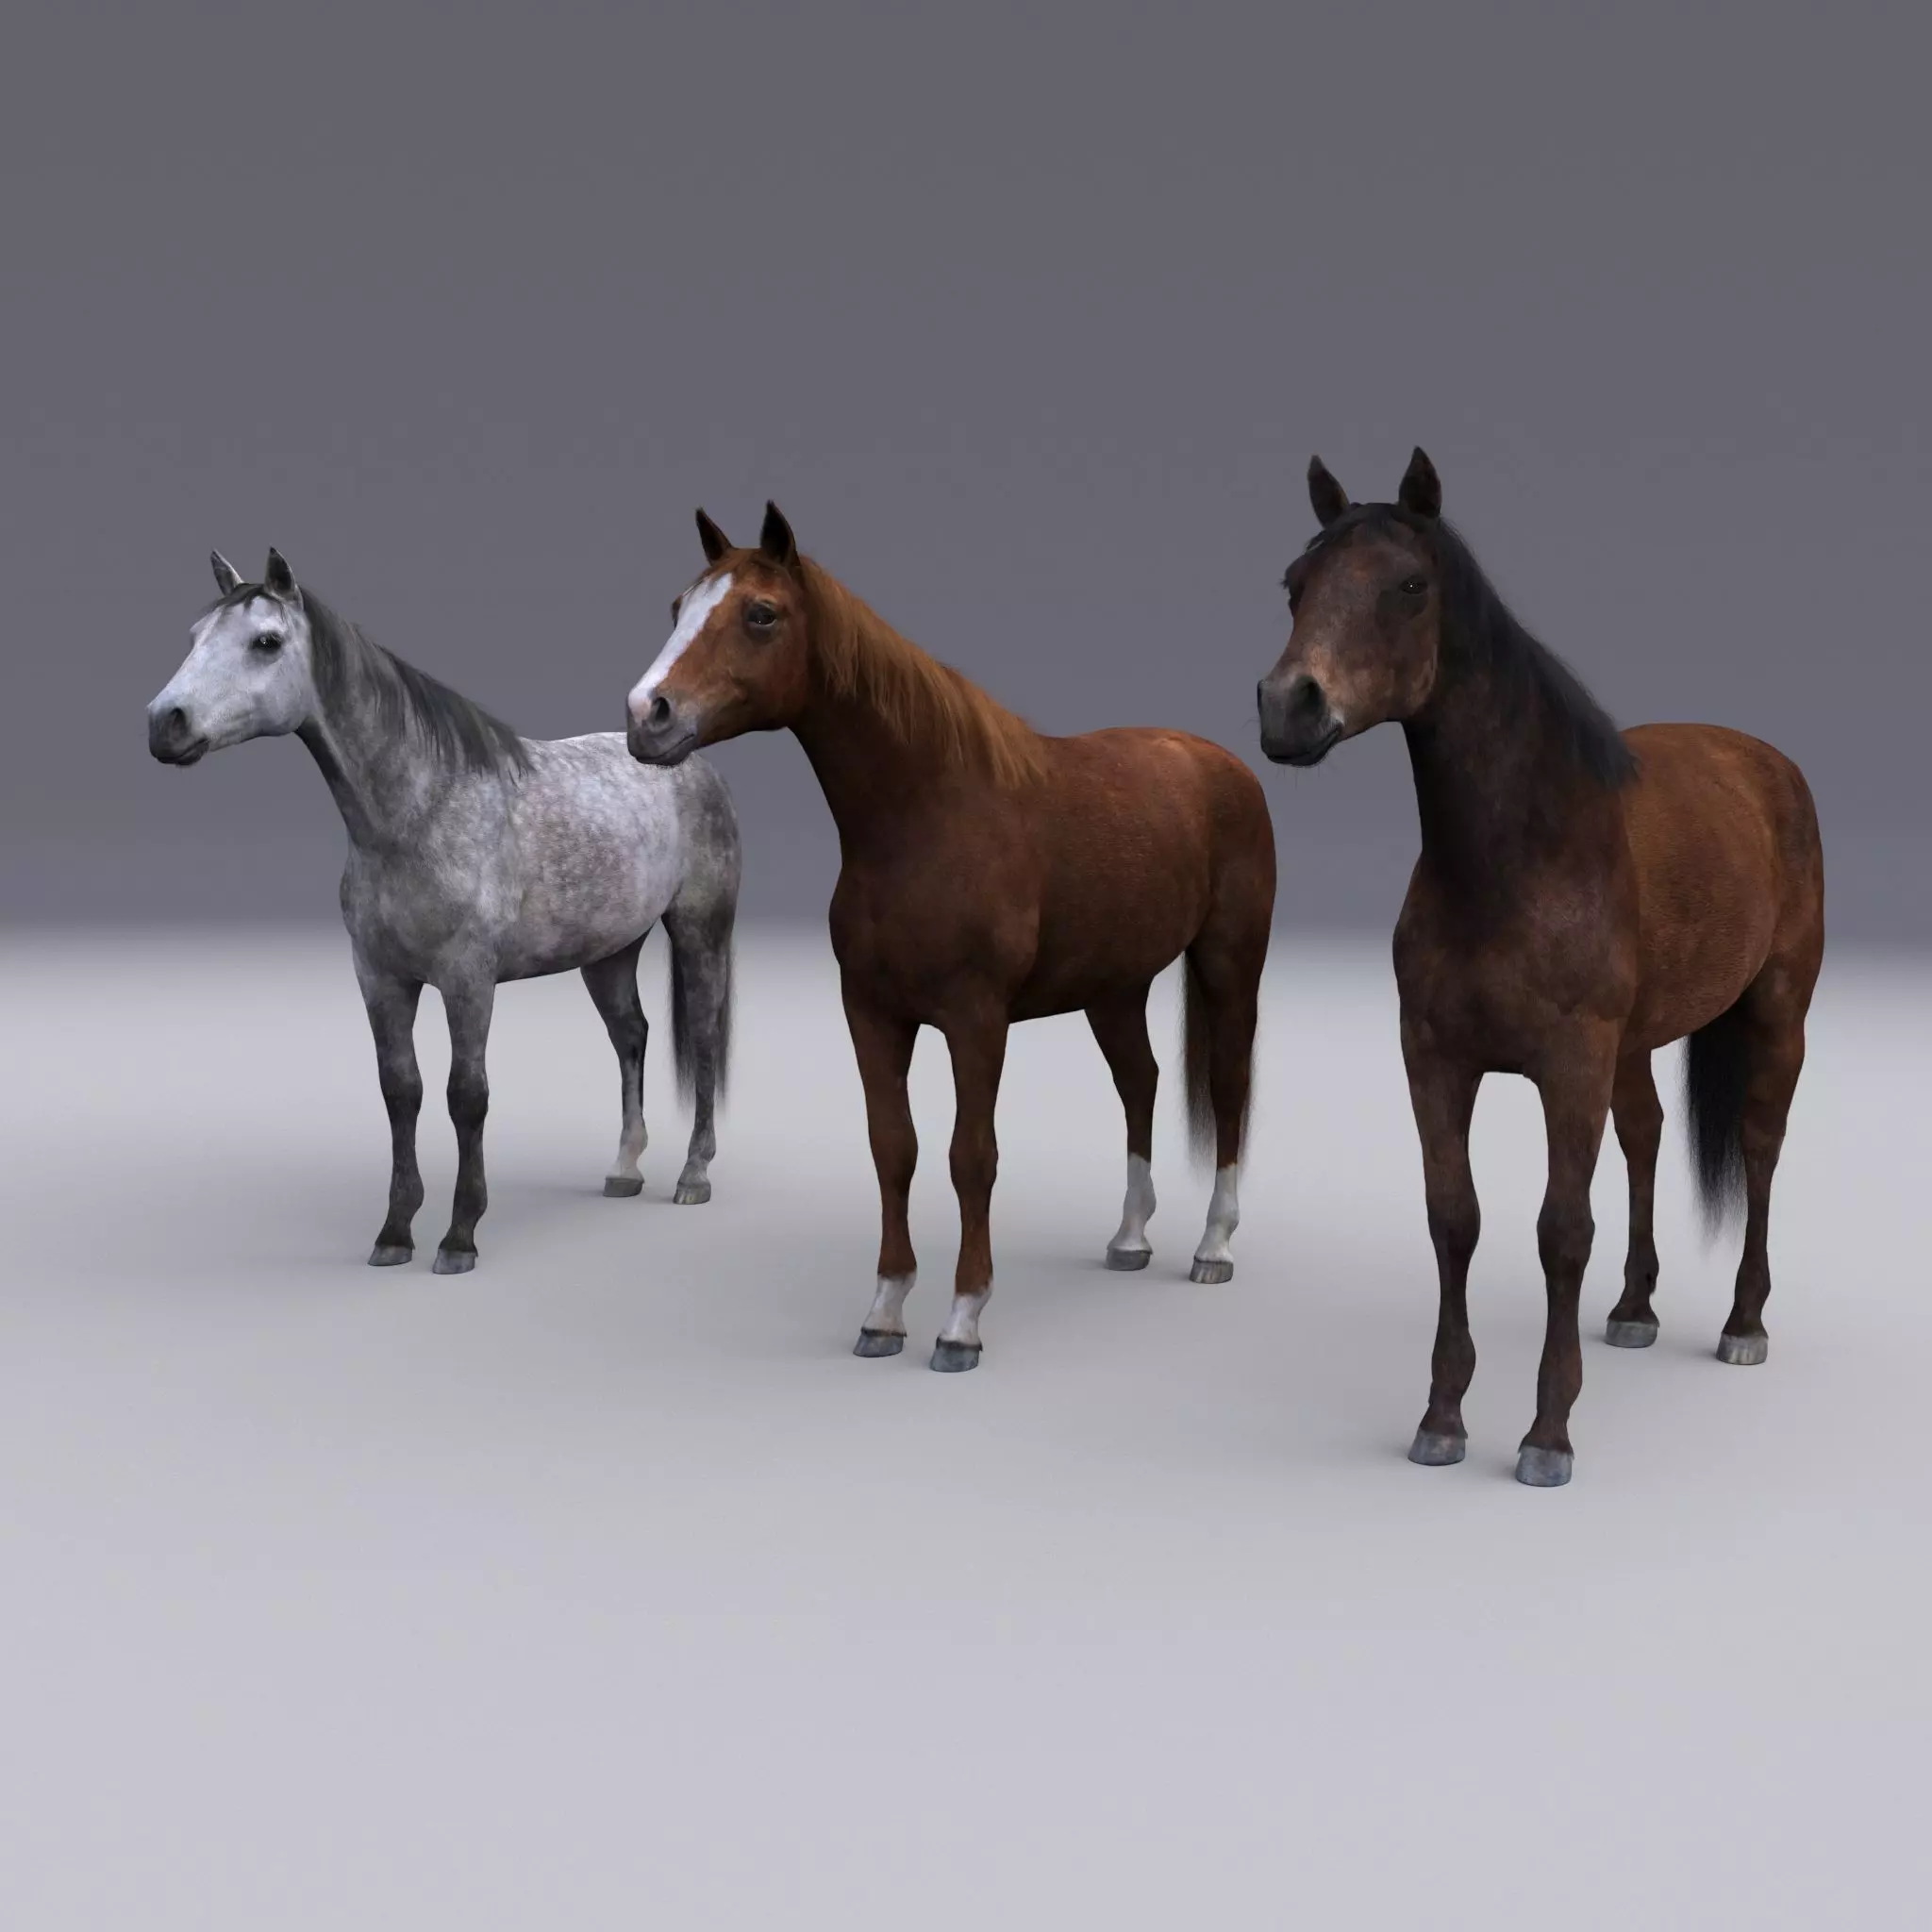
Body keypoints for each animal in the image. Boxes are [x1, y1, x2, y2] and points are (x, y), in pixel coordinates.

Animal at [147, 549, 741, 1274]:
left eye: (266, 642)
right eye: (194, 637)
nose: (164, 723)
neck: (419, 812)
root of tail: (692, 763)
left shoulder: (468, 980)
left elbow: (467, 1095)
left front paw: (460, 1236)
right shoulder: (380, 980)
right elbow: (401, 1091)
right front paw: (395, 1231)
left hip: (699, 932)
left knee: (703, 1039)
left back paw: (693, 1176)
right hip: (608, 952)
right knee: (631, 1036)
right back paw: (624, 1169)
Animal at [625, 504, 1276, 1370]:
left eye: (760, 614)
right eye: (677, 607)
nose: (646, 715)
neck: (927, 819)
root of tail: (1224, 764)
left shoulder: (976, 1021)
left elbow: (972, 1157)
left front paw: (962, 1321)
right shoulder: (871, 1015)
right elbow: (893, 1149)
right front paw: (883, 1313)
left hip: (1229, 965)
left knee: (1228, 1087)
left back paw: (1213, 1248)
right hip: (1115, 986)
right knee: (1140, 1082)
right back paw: (1130, 1238)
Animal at [1256, 450, 1824, 1486]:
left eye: (1408, 586)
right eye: (1295, 584)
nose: (1288, 706)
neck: (1519, 858)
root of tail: (1763, 761)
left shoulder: (1568, 1067)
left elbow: (1561, 1229)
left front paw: (1546, 1434)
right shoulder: (1435, 1059)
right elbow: (1454, 1218)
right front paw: (1441, 1417)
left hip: (1776, 1015)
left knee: (1761, 1146)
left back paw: (1742, 1324)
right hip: (1633, 1047)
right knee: (1645, 1137)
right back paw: (1634, 1311)